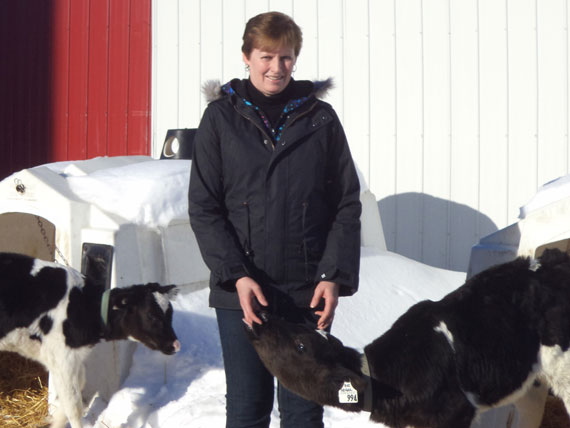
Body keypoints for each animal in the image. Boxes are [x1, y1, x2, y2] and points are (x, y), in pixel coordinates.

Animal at [0, 251, 180, 428]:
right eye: (151, 315)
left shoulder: (71, 358)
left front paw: (56, 420)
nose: (176, 345)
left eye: (170, 313)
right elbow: (73, 406)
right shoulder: (62, 358)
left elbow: (79, 386)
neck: (83, 306)